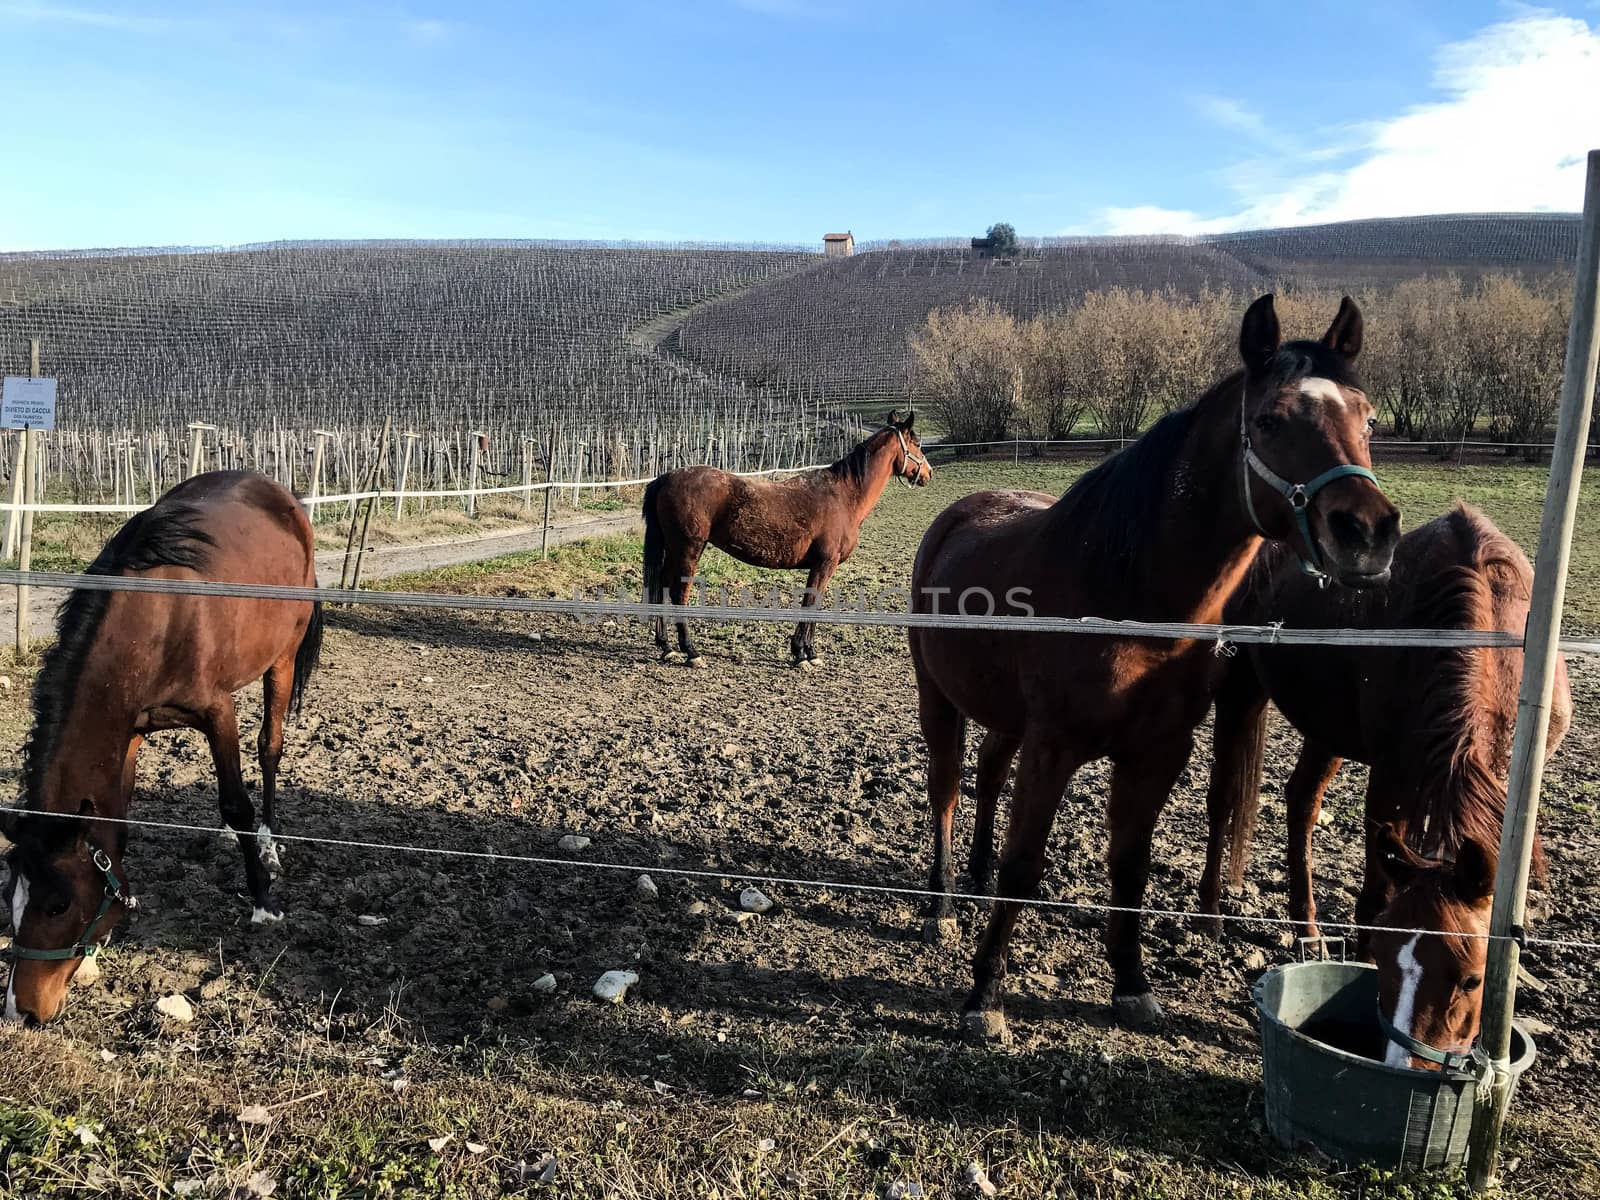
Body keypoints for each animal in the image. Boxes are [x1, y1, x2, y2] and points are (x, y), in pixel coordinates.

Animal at [1, 470, 321, 1024]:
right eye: (8, 900)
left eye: (58, 904)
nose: (21, 1012)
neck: (152, 621)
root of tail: (276, 492)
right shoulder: (130, 729)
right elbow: (118, 821)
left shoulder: (217, 713)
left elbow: (235, 802)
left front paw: (263, 901)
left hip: (281, 659)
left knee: (270, 749)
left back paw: (268, 843)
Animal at [643, 416, 934, 672]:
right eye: (917, 443)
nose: (928, 473)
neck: (844, 495)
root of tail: (667, 477)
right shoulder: (823, 564)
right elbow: (810, 603)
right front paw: (801, 654)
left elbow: (816, 604)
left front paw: (810, 653)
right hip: (689, 549)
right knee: (679, 595)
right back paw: (691, 652)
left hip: (675, 550)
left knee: (663, 589)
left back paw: (667, 647)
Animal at [915, 294, 1401, 1043]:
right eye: (1269, 420)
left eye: (1368, 417)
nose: (1368, 534)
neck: (1132, 594)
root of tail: (960, 513)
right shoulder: (1054, 746)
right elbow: (1024, 864)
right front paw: (985, 995)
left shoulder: (1158, 752)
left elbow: (1130, 865)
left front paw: (1131, 983)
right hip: (938, 701)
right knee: (944, 789)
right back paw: (940, 904)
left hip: (1004, 715)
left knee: (989, 775)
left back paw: (973, 876)